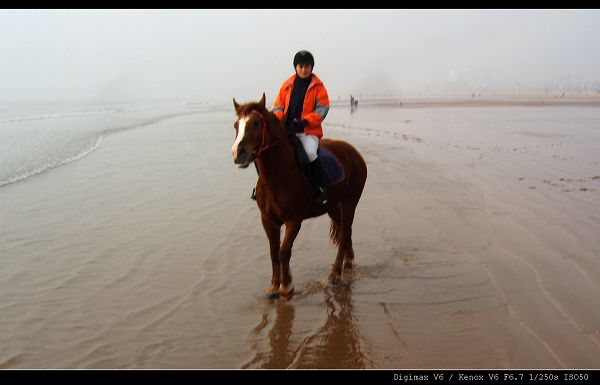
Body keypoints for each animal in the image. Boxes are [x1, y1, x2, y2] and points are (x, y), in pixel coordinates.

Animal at [232, 93, 368, 300]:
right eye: (236, 125)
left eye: (256, 123)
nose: (238, 153)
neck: (277, 177)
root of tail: (354, 153)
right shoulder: (268, 219)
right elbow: (273, 252)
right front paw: (274, 286)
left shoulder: (294, 220)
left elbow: (283, 251)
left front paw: (286, 287)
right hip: (333, 206)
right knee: (345, 232)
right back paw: (348, 261)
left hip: (349, 202)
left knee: (344, 232)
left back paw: (334, 274)